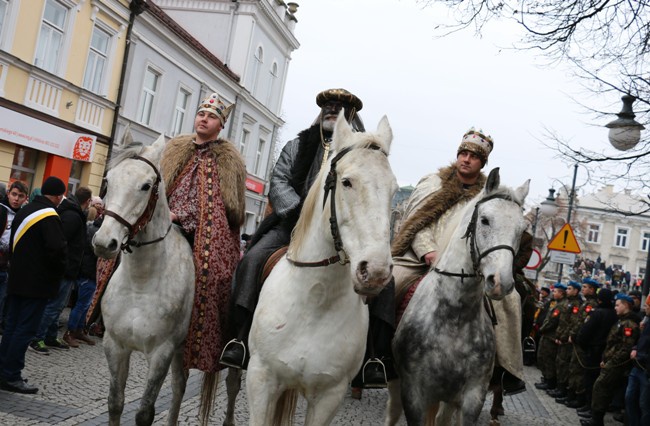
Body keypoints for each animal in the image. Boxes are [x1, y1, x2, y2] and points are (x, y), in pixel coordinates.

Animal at [243, 111, 394, 424]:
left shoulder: (329, 396)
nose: (375, 271)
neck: (315, 298)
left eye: (394, 189)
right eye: (347, 182)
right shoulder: (261, 379)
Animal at [384, 169, 528, 426]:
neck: (456, 315)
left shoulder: (472, 396)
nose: (501, 282)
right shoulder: (414, 394)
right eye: (485, 220)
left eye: (522, 230)